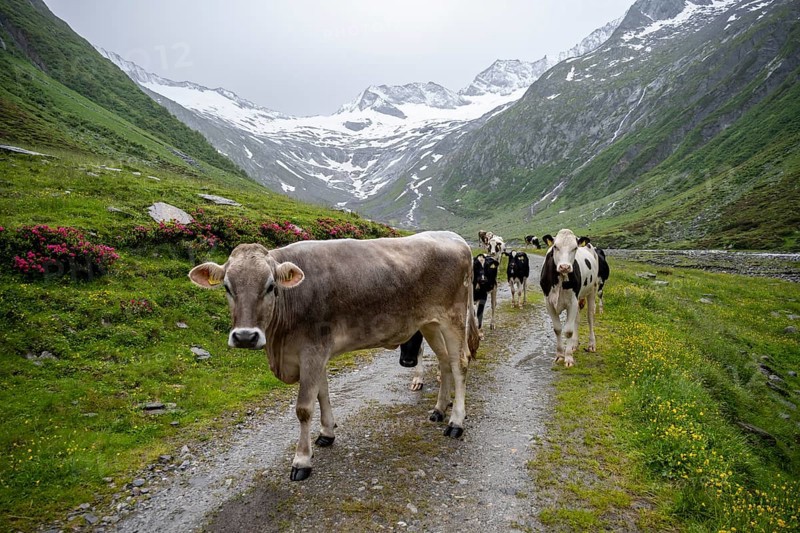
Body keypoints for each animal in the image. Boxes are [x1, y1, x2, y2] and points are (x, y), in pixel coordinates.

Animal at [188, 231, 480, 481]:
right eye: (227, 287)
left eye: (271, 286)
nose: (245, 336)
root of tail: (453, 237)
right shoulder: (317, 352)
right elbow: (323, 393)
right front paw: (326, 433)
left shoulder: (312, 350)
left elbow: (304, 408)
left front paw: (302, 460)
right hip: (430, 323)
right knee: (444, 361)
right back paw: (439, 409)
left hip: (452, 317)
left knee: (459, 364)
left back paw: (455, 422)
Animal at [539, 229, 601, 368]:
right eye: (555, 247)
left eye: (575, 248)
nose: (564, 267)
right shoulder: (549, 303)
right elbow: (557, 329)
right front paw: (559, 355)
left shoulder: (572, 303)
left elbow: (568, 331)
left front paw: (568, 358)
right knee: (577, 319)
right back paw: (574, 345)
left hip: (592, 290)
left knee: (590, 318)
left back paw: (591, 344)